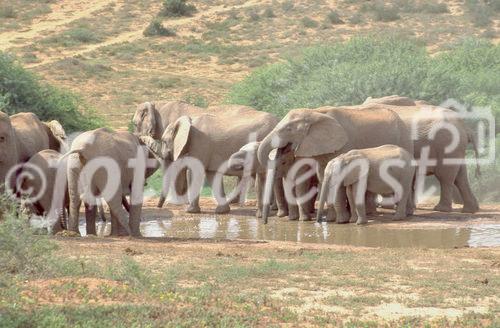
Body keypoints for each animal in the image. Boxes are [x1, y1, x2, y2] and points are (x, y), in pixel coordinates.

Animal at [143, 106, 280, 214]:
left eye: (165, 141)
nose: (159, 207)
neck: (188, 120)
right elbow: (211, 175)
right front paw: (222, 211)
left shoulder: (200, 142)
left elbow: (194, 171)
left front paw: (190, 211)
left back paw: (271, 208)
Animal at [256, 105, 412, 223]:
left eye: (288, 129)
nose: (264, 222)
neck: (315, 112)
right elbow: (323, 176)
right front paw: (332, 220)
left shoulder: (343, 144)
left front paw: (341, 221)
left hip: (404, 139)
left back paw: (402, 215)